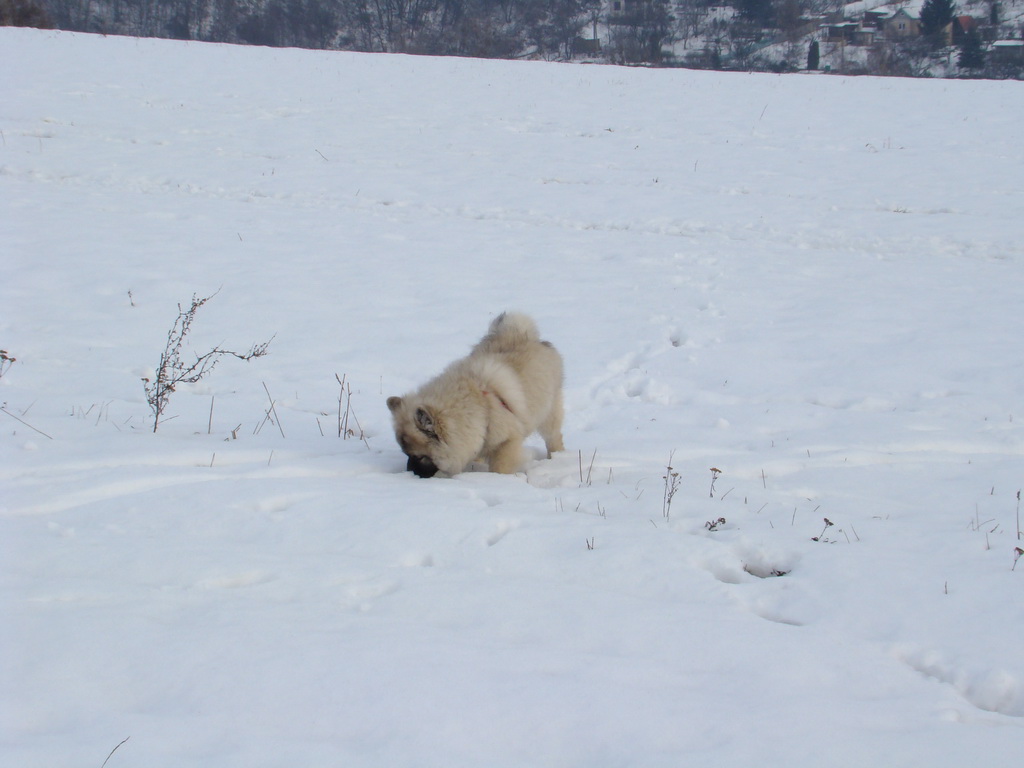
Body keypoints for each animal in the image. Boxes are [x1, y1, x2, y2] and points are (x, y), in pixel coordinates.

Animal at [385, 311, 565, 479]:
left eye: (419, 457)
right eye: (406, 454)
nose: (410, 473)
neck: (479, 405)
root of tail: (525, 335)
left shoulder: (506, 442)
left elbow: (500, 467)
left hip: (548, 415)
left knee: (554, 438)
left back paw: (557, 458)